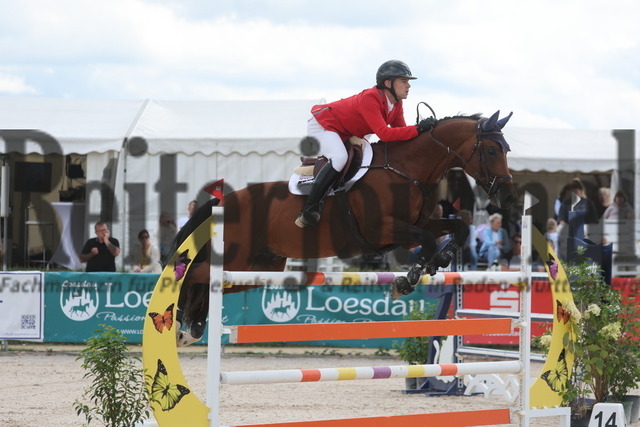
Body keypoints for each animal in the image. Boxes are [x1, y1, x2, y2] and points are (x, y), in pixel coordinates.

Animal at [172, 110, 517, 345]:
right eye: (491, 150)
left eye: (506, 149)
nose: (508, 195)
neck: (407, 171)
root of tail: (224, 201)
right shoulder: (384, 230)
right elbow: (428, 240)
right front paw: (408, 279)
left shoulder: (412, 229)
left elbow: (457, 228)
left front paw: (439, 261)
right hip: (238, 257)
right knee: (194, 272)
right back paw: (178, 322)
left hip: (259, 266)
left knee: (209, 281)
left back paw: (194, 326)